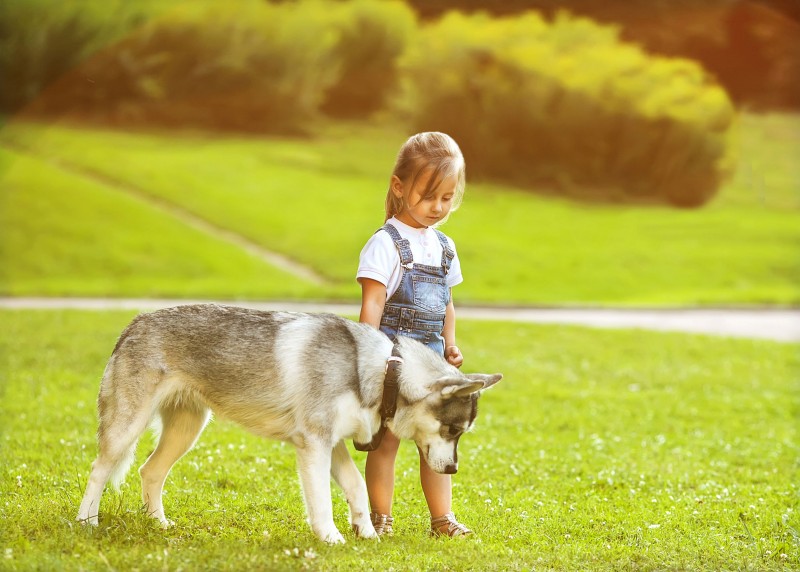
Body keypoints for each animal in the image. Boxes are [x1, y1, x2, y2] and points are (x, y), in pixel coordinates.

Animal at [75, 302, 500, 544]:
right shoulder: (314, 445)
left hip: (186, 431)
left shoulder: (335, 446)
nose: (454, 469)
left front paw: (365, 532)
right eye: (453, 431)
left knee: (149, 472)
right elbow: (322, 501)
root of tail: (135, 321)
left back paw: (159, 525)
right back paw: (86, 522)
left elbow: (357, 488)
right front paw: (331, 538)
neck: (383, 373)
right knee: (98, 471)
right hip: (127, 429)